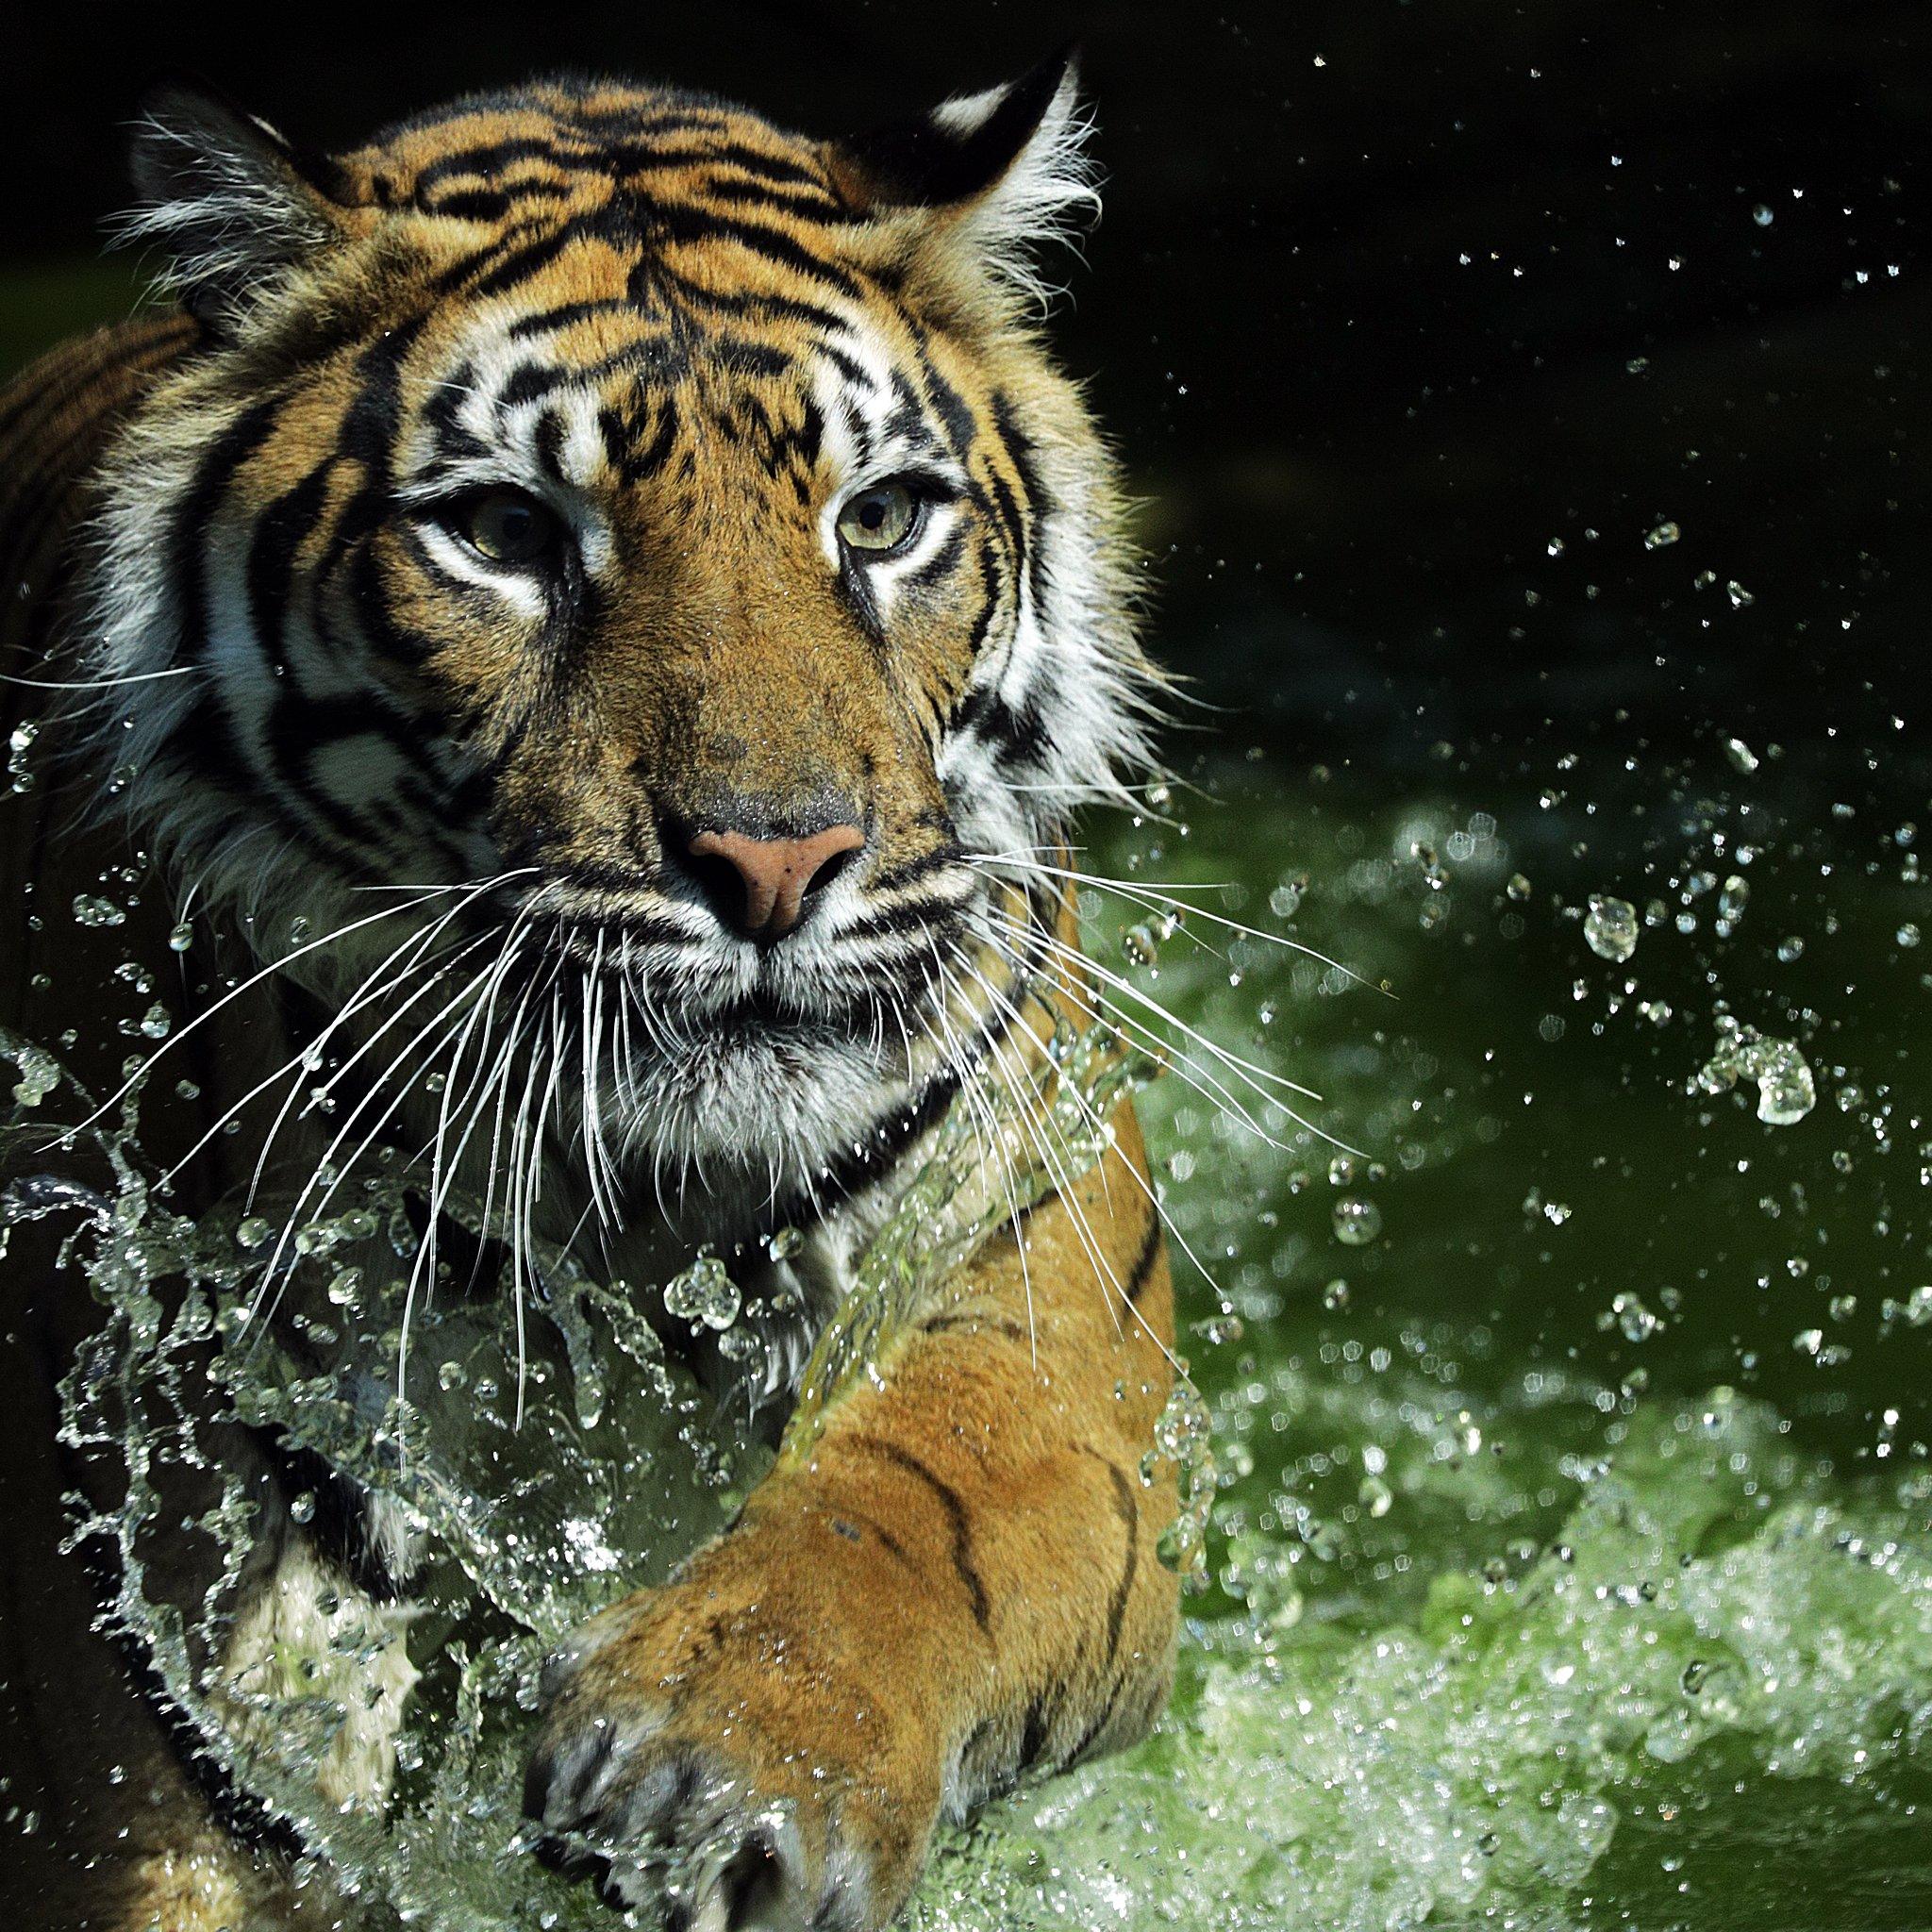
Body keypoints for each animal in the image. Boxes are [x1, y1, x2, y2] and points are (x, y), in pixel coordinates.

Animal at [0, 56, 1174, 1932]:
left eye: (881, 518)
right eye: (502, 532)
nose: (776, 860)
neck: (642, 1205)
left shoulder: (1050, 1311)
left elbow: (923, 1500)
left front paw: (724, 1757)